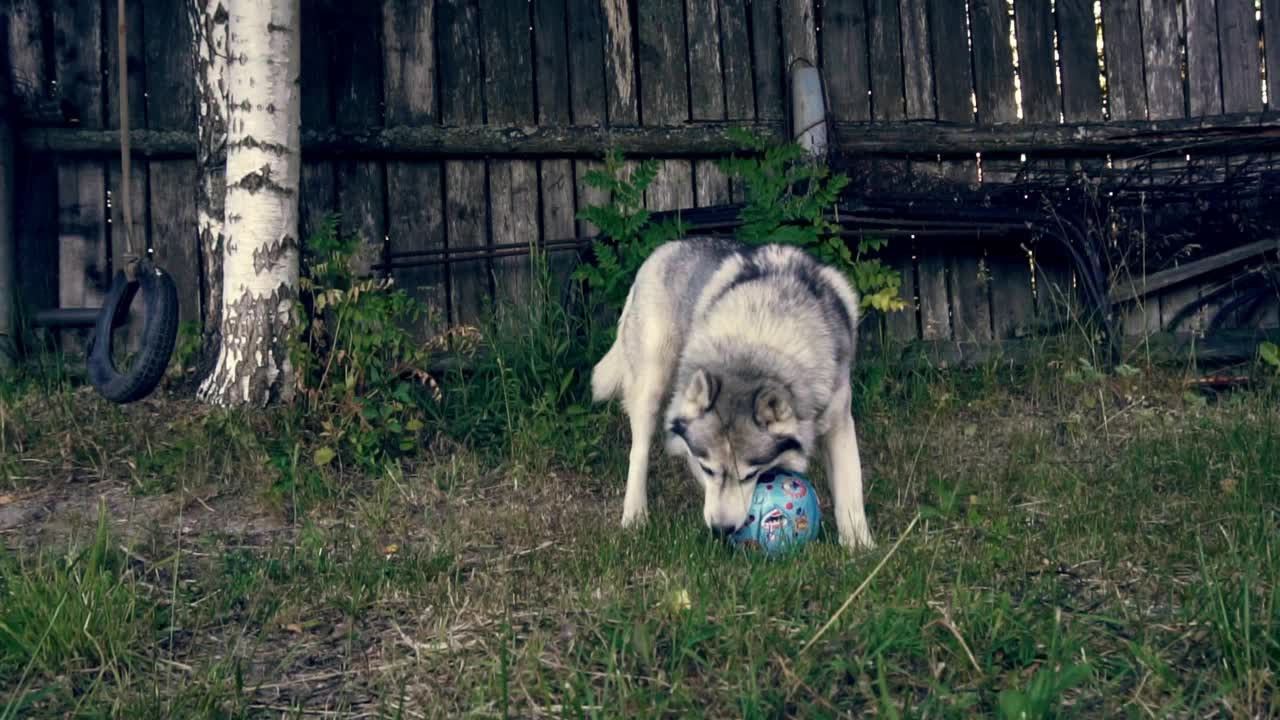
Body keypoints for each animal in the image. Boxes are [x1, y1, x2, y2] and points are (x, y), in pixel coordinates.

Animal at [586, 238, 870, 545]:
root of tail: (667, 248)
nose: (721, 529)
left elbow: (850, 488)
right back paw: (635, 515)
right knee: (639, 450)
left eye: (750, 475)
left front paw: (859, 544)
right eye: (709, 469)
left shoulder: (839, 420)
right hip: (653, 381)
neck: (758, 346)